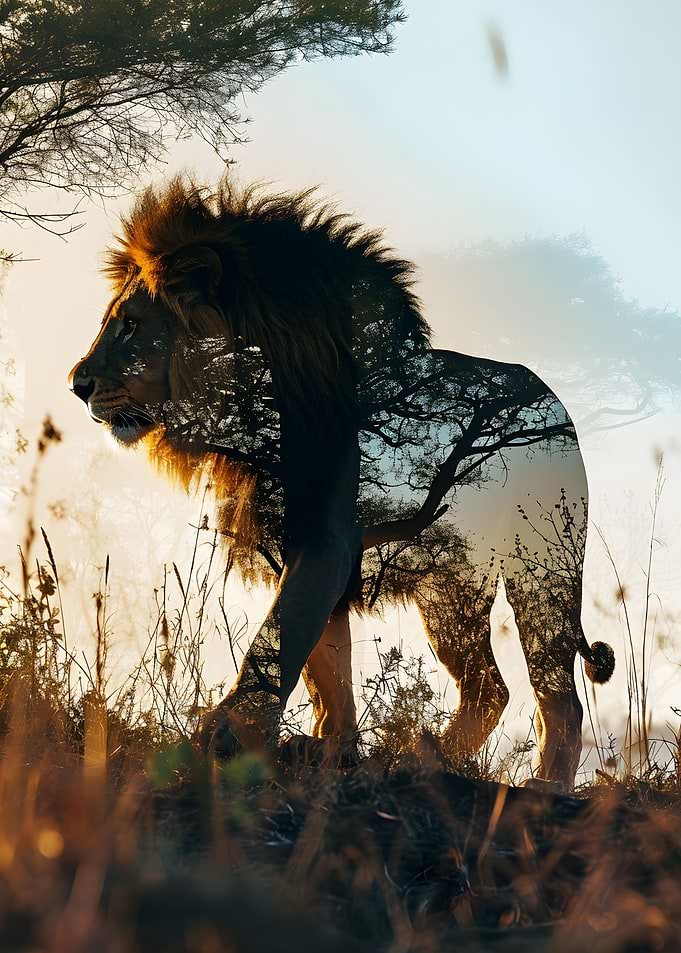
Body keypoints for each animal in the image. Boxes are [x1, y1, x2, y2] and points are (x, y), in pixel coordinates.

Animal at [69, 176, 614, 790]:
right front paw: (332, 751)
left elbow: (277, 642)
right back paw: (418, 758)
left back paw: (541, 786)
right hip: (449, 586)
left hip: (543, 566)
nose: (76, 384)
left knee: (558, 694)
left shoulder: (327, 539)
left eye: (131, 324)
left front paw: (220, 740)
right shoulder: (294, 547)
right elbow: (326, 670)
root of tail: (557, 404)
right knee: (486, 688)